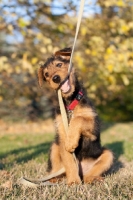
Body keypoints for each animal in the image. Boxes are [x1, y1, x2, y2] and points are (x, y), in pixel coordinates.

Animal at [37, 47, 113, 185]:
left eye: (59, 64)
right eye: (46, 74)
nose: (55, 78)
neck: (70, 102)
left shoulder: (93, 126)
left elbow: (78, 118)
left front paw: (72, 141)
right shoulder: (62, 134)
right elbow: (69, 161)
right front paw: (73, 182)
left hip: (107, 154)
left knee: (89, 175)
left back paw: (94, 179)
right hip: (54, 147)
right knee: (55, 171)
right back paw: (54, 179)